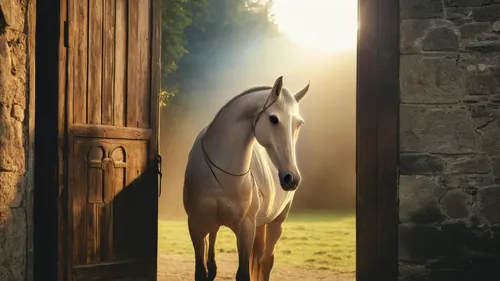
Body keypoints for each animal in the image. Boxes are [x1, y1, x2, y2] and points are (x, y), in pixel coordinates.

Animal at [182, 76, 310, 280]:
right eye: (273, 118)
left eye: (299, 124)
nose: (292, 178)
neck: (223, 173)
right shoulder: (196, 225)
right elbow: (202, 272)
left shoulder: (246, 229)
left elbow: (243, 274)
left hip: (277, 221)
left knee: (266, 261)